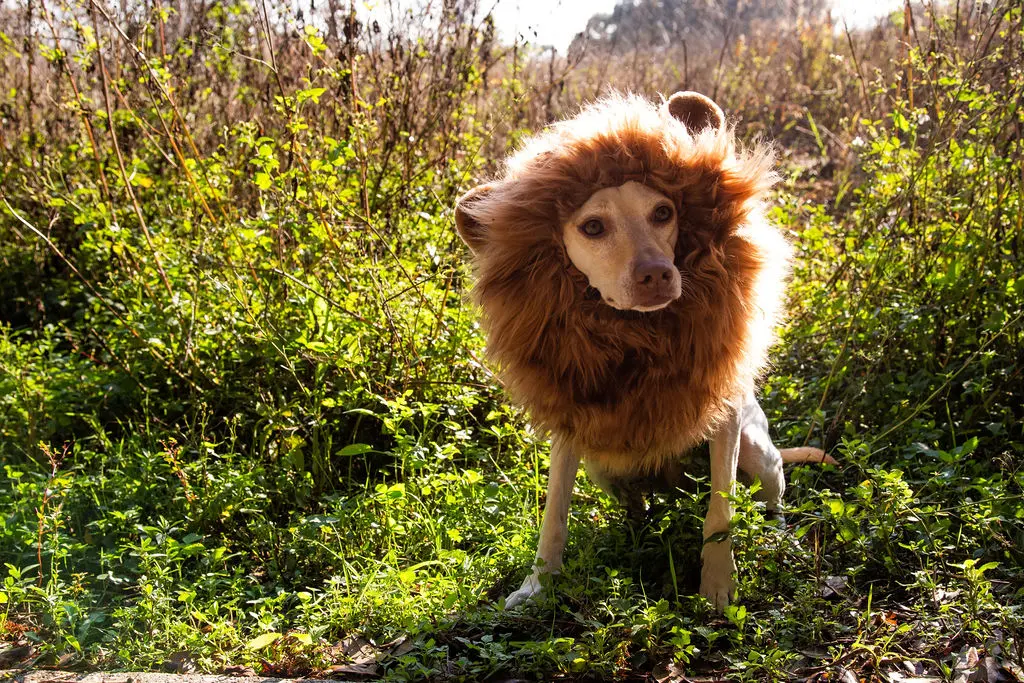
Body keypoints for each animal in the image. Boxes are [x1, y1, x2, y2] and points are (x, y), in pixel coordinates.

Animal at [454, 92, 831, 614]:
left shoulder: (724, 414)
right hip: (605, 465)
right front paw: (538, 584)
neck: (640, 336)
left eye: (663, 212)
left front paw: (718, 585)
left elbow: (721, 510)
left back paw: (778, 538)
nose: (656, 274)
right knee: (638, 507)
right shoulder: (571, 420)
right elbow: (554, 513)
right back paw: (632, 539)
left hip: (757, 451)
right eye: (593, 227)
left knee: (771, 498)